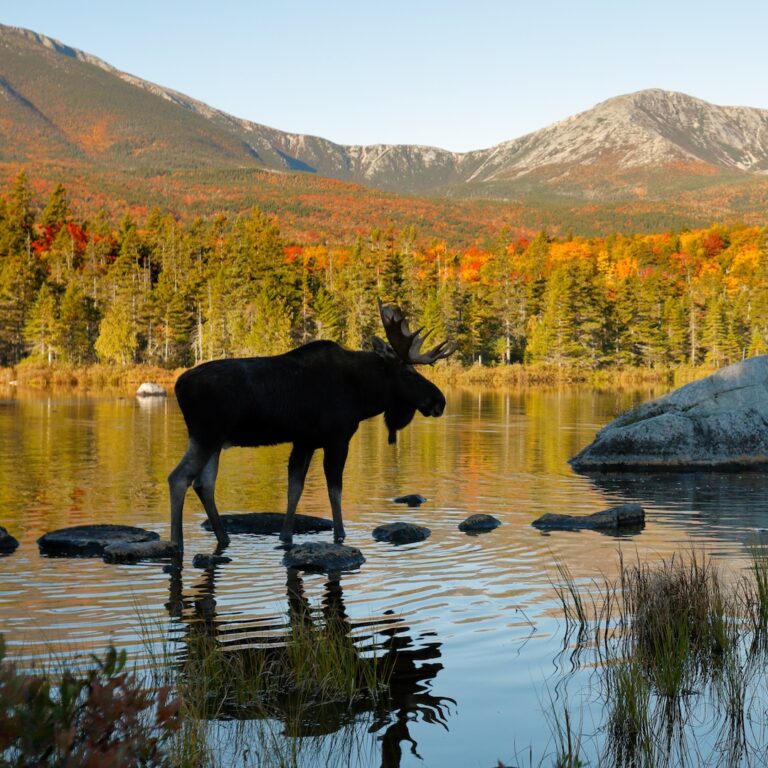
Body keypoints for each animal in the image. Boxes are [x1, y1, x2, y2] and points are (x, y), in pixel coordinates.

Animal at [168, 301, 455, 552]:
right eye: (409, 373)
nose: (439, 401)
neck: (364, 395)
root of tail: (179, 385)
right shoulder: (337, 439)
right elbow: (335, 491)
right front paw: (340, 534)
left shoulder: (304, 441)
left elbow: (294, 489)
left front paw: (285, 535)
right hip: (205, 435)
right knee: (179, 478)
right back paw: (177, 542)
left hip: (214, 441)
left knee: (204, 484)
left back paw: (223, 537)